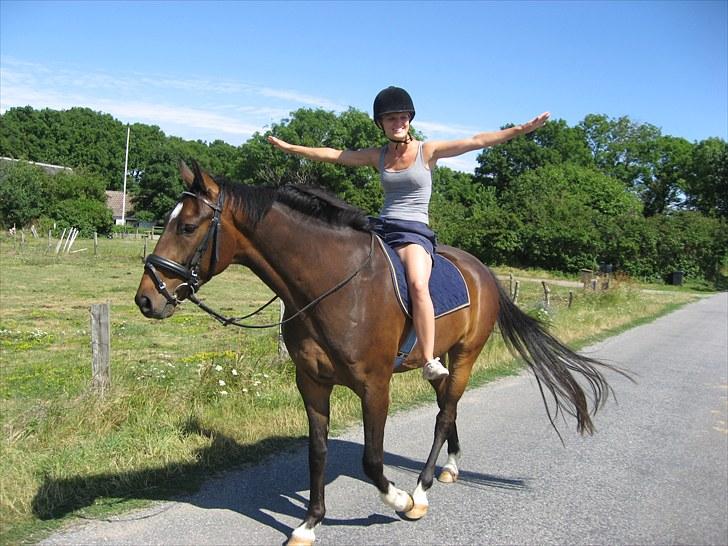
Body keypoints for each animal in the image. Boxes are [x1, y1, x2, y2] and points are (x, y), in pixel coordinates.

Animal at [136, 159, 624, 540]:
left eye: (188, 226)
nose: (147, 299)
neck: (332, 286)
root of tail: (482, 271)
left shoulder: (375, 387)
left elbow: (372, 461)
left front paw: (403, 501)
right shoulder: (311, 383)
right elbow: (317, 452)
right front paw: (309, 524)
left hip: (466, 355)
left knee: (444, 414)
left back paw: (423, 487)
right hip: (440, 360)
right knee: (447, 404)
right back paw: (451, 467)